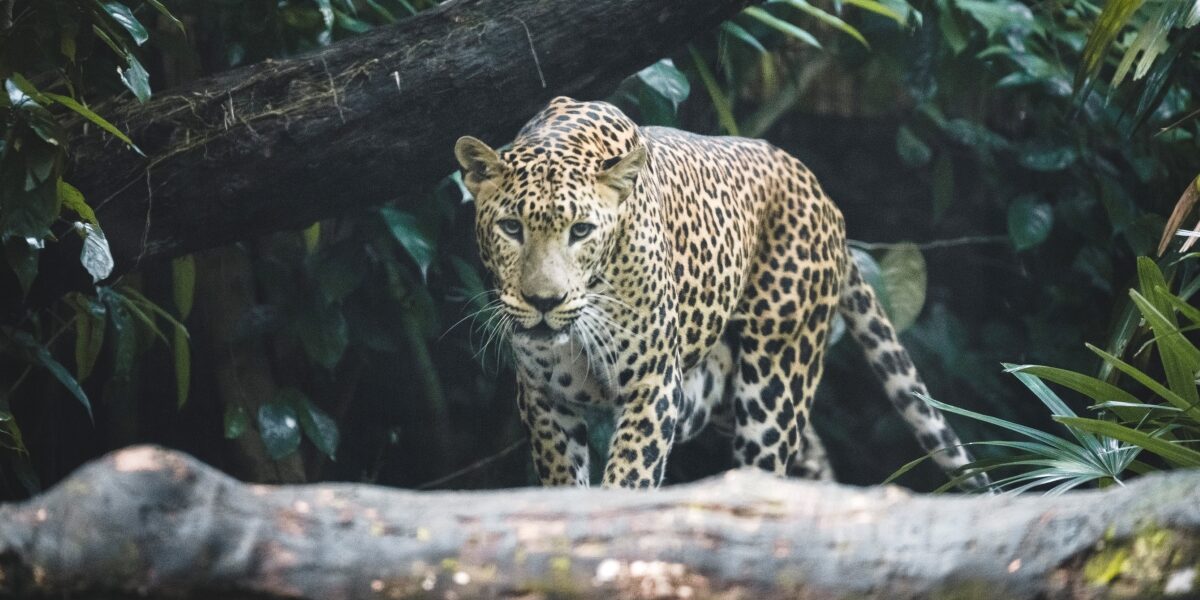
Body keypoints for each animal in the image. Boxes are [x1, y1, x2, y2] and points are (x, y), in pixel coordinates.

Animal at [454, 96, 984, 490]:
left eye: (581, 231)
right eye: (511, 228)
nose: (544, 302)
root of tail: (822, 194)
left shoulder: (652, 385)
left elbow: (629, 478)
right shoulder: (543, 398)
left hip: (774, 387)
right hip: (718, 392)